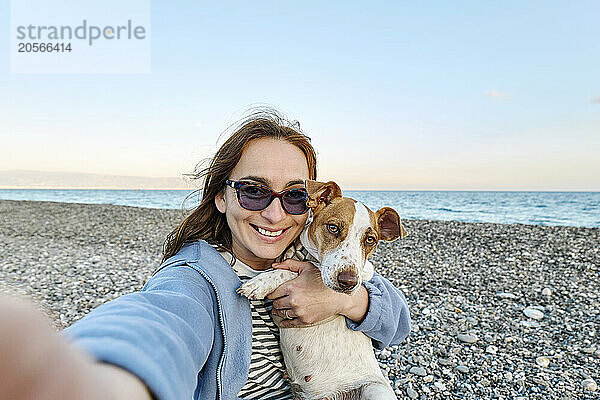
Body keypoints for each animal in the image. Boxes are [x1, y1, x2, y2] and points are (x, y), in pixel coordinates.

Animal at [237, 180, 406, 400]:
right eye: (333, 227)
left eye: (370, 240)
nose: (348, 282)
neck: (307, 256)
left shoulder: (363, 272)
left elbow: (291, 272)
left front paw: (261, 281)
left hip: (374, 390)